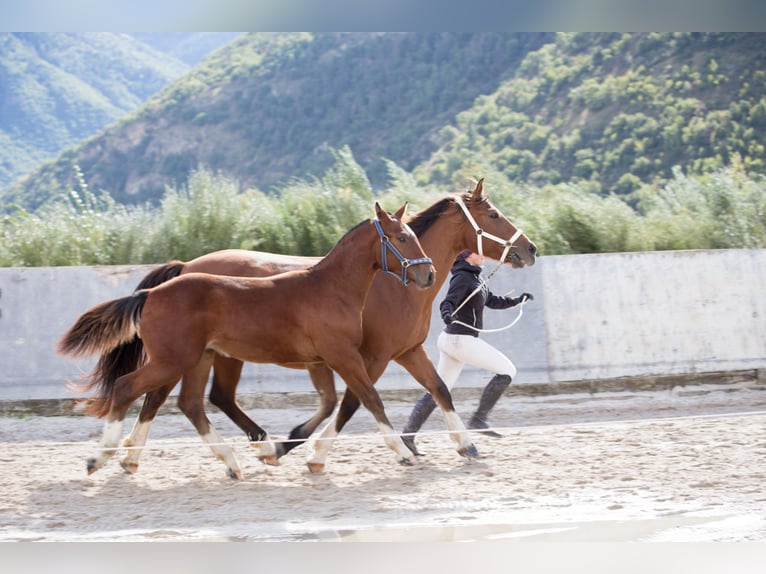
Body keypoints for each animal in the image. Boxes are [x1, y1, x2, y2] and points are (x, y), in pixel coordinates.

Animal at [58, 204, 444, 482]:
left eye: (413, 234)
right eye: (402, 237)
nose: (428, 274)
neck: (330, 288)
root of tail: (150, 294)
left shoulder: (324, 360)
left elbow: (340, 402)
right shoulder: (343, 356)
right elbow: (370, 400)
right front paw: (404, 454)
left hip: (198, 359)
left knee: (190, 403)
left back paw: (230, 462)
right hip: (173, 360)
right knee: (128, 388)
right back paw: (99, 458)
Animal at [96, 179, 536, 472]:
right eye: (493, 215)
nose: (529, 248)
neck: (390, 285)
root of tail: (185, 269)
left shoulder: (406, 352)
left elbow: (437, 390)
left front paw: (465, 445)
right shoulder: (369, 356)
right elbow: (355, 402)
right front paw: (318, 454)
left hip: (210, 356)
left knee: (193, 398)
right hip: (195, 355)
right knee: (168, 395)